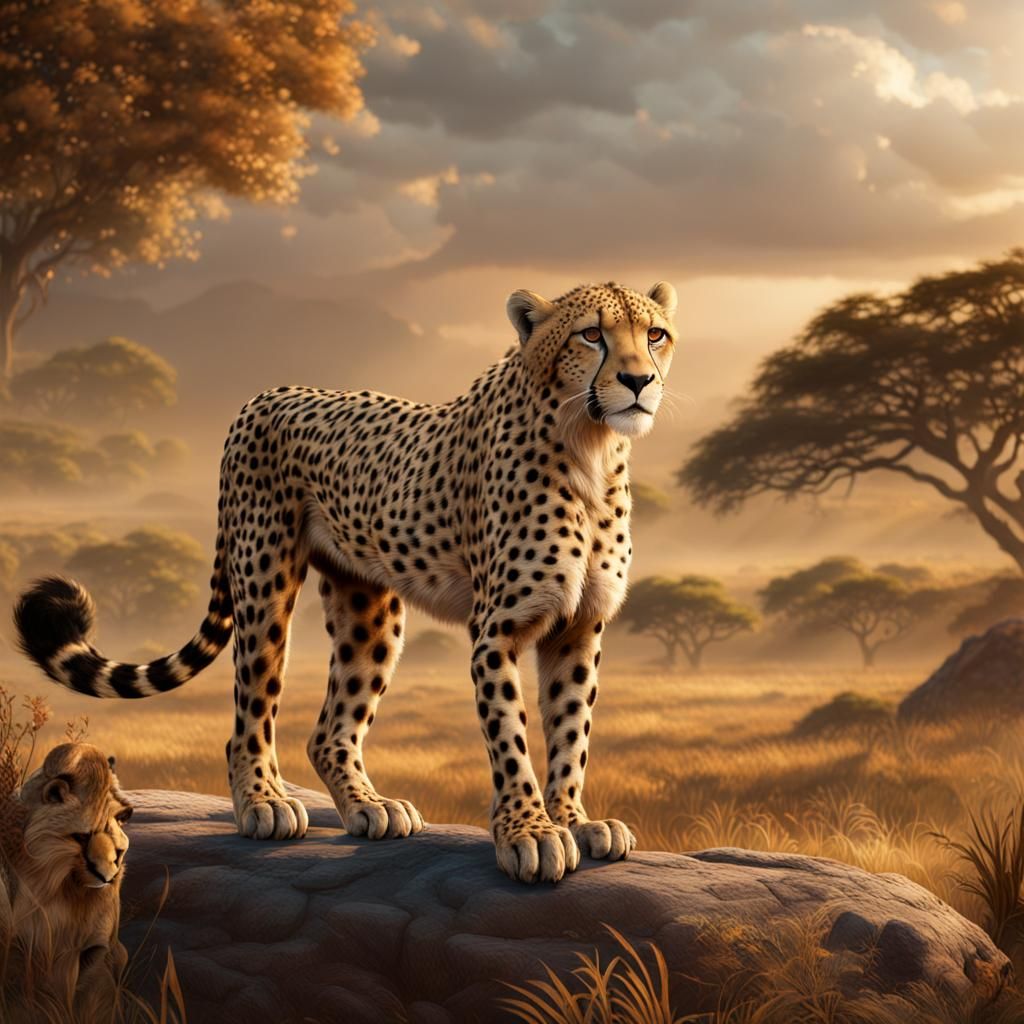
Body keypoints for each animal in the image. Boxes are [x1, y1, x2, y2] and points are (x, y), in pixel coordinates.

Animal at [14, 279, 678, 884]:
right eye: (590, 335)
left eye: (654, 335)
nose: (638, 381)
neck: (591, 446)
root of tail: (266, 393)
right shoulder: (498, 632)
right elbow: (510, 736)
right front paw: (529, 833)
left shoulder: (578, 629)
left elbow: (571, 729)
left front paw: (573, 821)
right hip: (264, 585)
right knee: (251, 710)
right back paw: (264, 802)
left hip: (370, 609)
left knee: (329, 729)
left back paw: (369, 806)